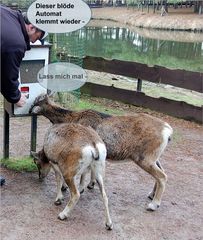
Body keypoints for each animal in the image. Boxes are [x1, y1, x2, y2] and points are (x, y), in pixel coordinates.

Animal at [30, 94, 173, 211]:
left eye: (37, 162)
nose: (40, 177)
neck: (74, 118)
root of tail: (167, 131)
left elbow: (82, 174)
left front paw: (77, 188)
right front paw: (91, 184)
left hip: (144, 159)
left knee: (162, 176)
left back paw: (153, 205)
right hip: (154, 158)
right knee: (161, 172)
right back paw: (151, 195)